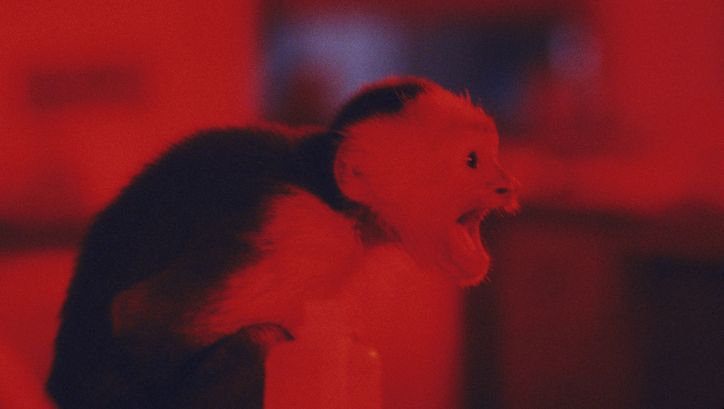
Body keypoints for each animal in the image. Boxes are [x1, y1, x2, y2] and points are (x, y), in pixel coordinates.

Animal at [46, 77, 518, 408]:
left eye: (492, 156)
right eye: (472, 161)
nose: (507, 185)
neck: (333, 197)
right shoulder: (301, 230)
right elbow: (138, 315)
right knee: (262, 342)